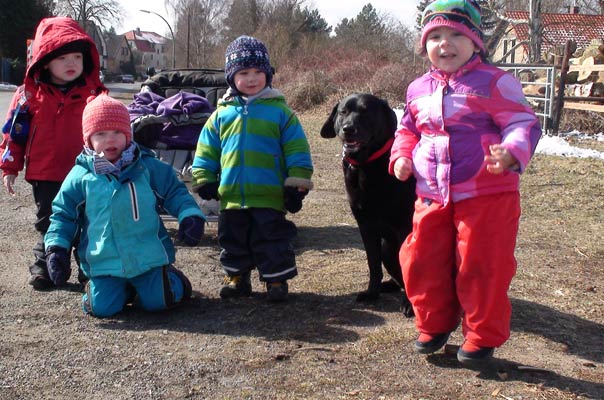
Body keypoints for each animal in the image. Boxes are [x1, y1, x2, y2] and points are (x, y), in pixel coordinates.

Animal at [320, 94, 416, 316]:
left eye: (365, 112)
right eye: (343, 112)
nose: (348, 128)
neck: (367, 166)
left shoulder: (404, 227)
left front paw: (409, 303)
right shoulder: (365, 226)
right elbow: (373, 264)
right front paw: (372, 293)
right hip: (386, 249)